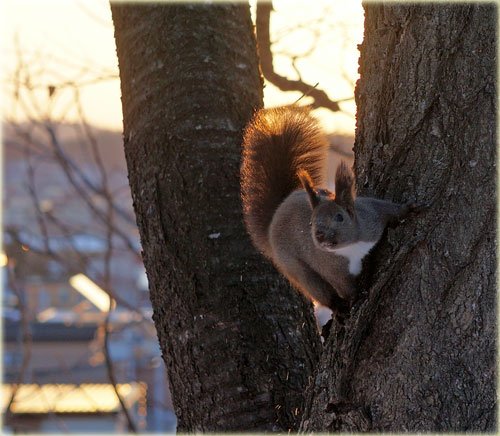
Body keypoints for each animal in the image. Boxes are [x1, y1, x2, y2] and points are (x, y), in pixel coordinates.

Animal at [240, 107, 416, 316]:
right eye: (311, 222)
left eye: (340, 217)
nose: (320, 235)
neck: (351, 246)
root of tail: (274, 219)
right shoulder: (330, 267)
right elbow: (345, 288)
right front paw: (357, 297)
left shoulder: (371, 217)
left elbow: (387, 208)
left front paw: (408, 209)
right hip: (295, 267)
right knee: (320, 291)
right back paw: (339, 308)